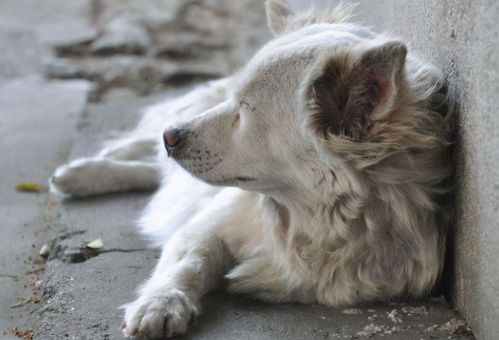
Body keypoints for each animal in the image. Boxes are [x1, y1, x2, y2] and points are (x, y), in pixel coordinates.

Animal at [49, 1, 454, 338]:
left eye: (243, 111)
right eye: (235, 101)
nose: (170, 137)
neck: (309, 219)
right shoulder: (208, 225)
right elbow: (186, 264)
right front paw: (160, 304)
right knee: (150, 154)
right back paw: (85, 170)